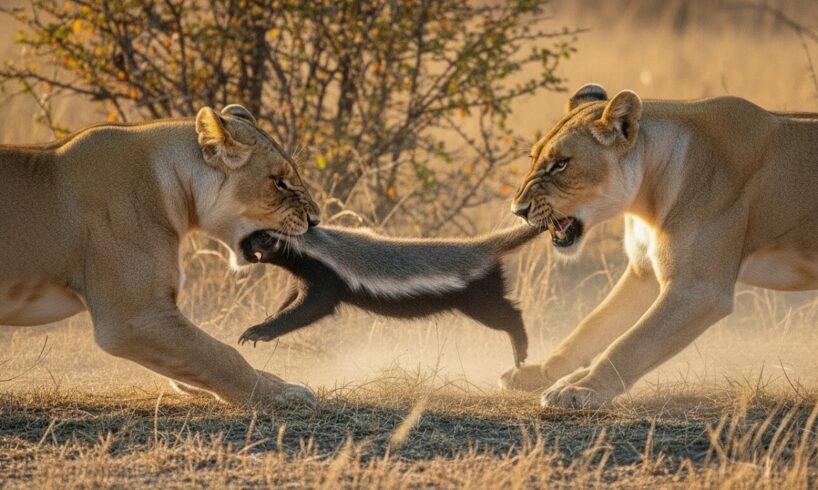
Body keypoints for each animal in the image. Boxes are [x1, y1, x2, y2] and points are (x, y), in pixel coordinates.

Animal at [0, 105, 321, 407]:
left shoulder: (154, 317)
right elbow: (219, 354)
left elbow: (194, 360)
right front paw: (282, 394)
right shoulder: (133, 318)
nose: (316, 219)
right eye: (278, 182)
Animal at [501, 83, 818, 408]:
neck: (645, 203)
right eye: (533, 157)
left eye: (561, 164)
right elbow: (593, 325)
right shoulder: (643, 274)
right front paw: (543, 372)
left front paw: (581, 389)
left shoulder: (699, 290)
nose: (518, 210)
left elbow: (630, 344)